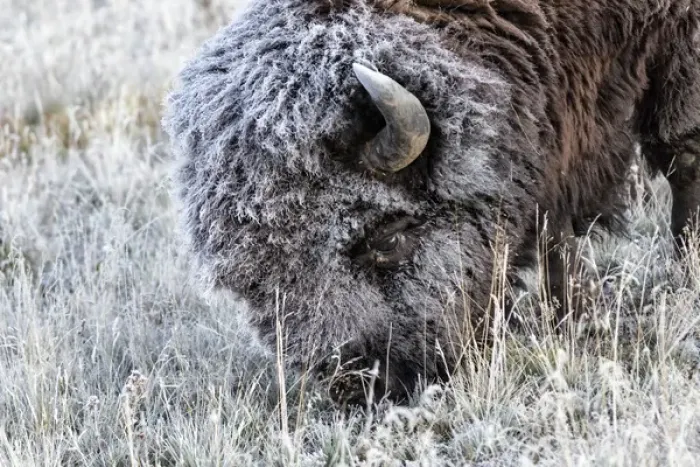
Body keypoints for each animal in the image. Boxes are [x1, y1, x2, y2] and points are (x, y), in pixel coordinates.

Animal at [163, 0, 700, 403]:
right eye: (251, 285)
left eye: (387, 237)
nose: (366, 386)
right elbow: (554, 224)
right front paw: (570, 316)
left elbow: (683, 161)